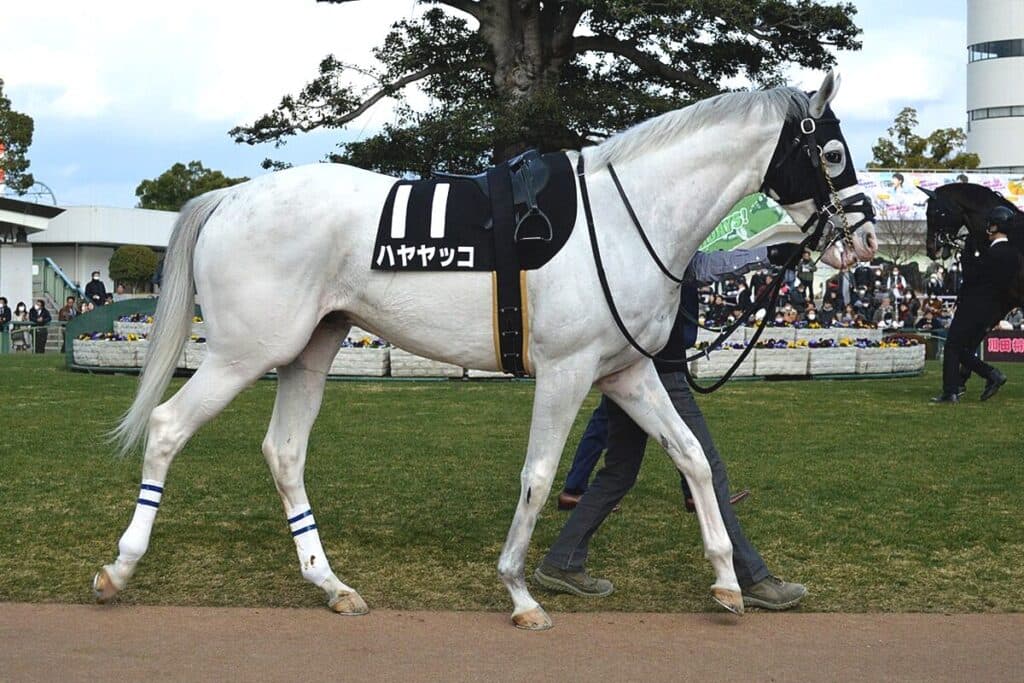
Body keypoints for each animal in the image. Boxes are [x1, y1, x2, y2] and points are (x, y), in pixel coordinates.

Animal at [92, 70, 877, 630]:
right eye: (833, 151)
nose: (867, 239)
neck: (626, 218)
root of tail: (229, 196)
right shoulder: (565, 371)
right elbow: (538, 474)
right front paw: (519, 591)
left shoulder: (626, 373)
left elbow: (692, 456)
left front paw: (726, 580)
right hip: (242, 352)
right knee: (167, 427)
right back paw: (119, 570)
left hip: (309, 351)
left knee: (284, 452)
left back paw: (331, 583)